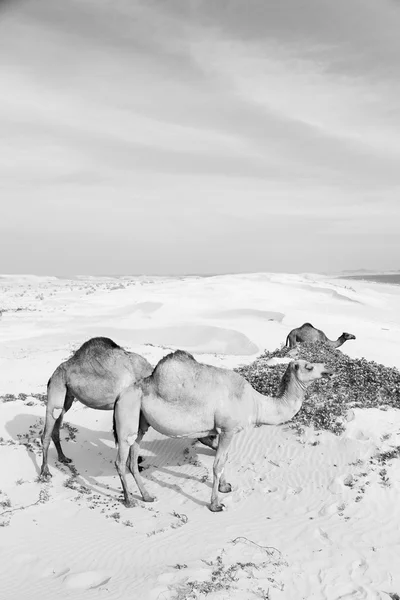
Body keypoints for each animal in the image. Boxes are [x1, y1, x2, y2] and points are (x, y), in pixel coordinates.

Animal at [40, 336, 153, 480]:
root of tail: (52, 376)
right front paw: (135, 465)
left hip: (67, 398)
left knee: (56, 426)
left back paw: (63, 458)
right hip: (56, 389)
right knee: (46, 431)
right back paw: (45, 471)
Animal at [111, 352, 332, 510]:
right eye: (309, 366)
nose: (328, 370)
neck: (255, 403)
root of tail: (121, 395)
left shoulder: (223, 431)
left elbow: (224, 458)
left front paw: (225, 487)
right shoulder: (227, 429)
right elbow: (218, 464)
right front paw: (215, 504)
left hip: (141, 422)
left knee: (133, 458)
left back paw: (147, 496)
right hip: (127, 413)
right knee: (120, 460)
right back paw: (129, 501)